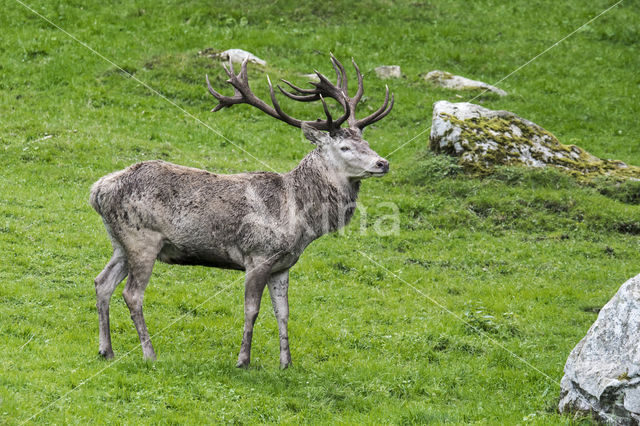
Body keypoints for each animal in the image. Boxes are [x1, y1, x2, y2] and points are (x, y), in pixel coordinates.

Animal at [89, 53, 390, 368]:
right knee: (132, 293)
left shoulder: (283, 265)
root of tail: (97, 190)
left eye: (367, 142)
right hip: (142, 239)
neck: (299, 218)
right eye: (344, 147)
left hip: (120, 242)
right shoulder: (258, 255)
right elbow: (252, 309)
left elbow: (283, 313)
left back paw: (106, 350)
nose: (383, 163)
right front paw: (243, 360)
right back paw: (150, 354)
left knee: (102, 283)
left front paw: (286, 363)